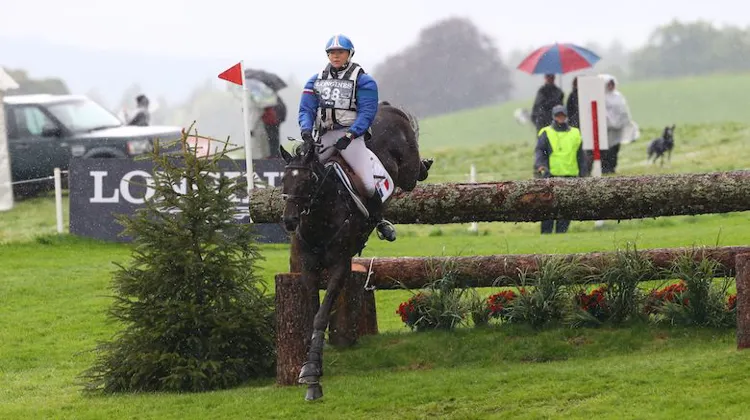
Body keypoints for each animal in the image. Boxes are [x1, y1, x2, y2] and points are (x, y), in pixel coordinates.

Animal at [278, 101, 432, 400]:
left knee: (412, 176)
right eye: (284, 181)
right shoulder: (308, 267)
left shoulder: (340, 265)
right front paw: (309, 367)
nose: (289, 221)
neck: (321, 219)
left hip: (407, 171)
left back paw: (424, 166)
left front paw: (313, 375)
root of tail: (386, 107)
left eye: (308, 180)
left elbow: (321, 315)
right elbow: (314, 313)